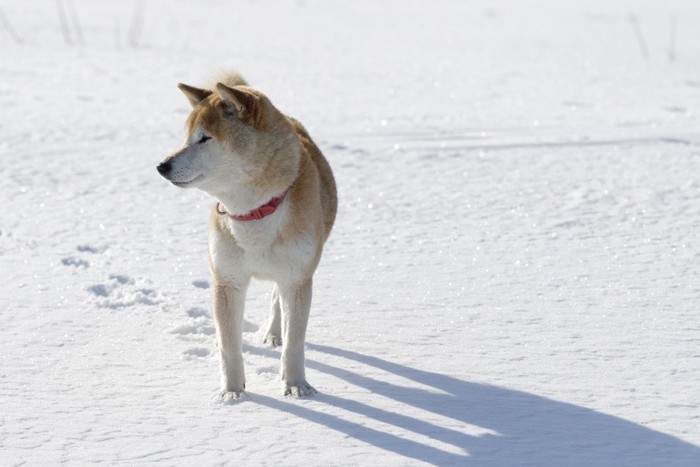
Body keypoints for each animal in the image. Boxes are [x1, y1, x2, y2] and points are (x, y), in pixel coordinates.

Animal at [157, 73, 338, 398]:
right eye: (186, 137)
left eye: (204, 138)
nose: (162, 166)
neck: (254, 212)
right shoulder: (227, 280)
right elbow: (229, 346)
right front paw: (232, 394)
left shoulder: (297, 278)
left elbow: (295, 343)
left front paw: (296, 385)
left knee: (277, 300)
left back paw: (274, 335)